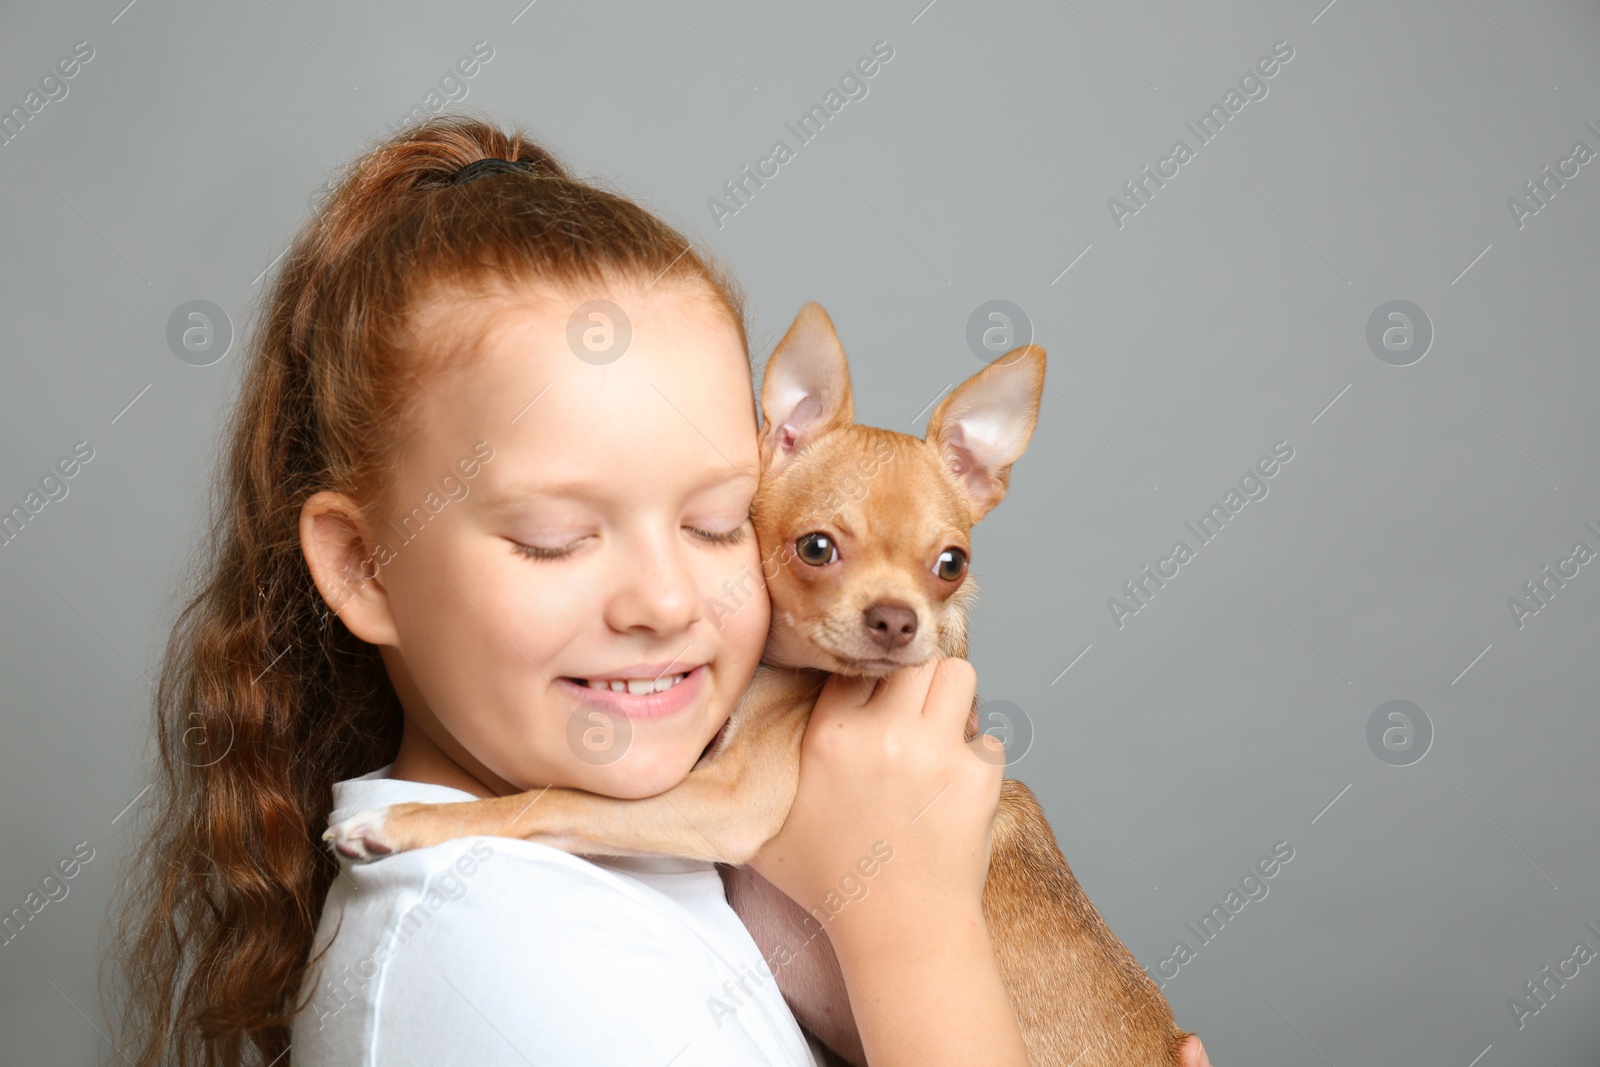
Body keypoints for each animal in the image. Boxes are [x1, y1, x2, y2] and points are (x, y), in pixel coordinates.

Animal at [324, 302, 1203, 1067]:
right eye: (816, 548)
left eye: (952, 564)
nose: (897, 620)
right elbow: (569, 797)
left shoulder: (726, 802)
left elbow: (557, 798)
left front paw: (401, 820)